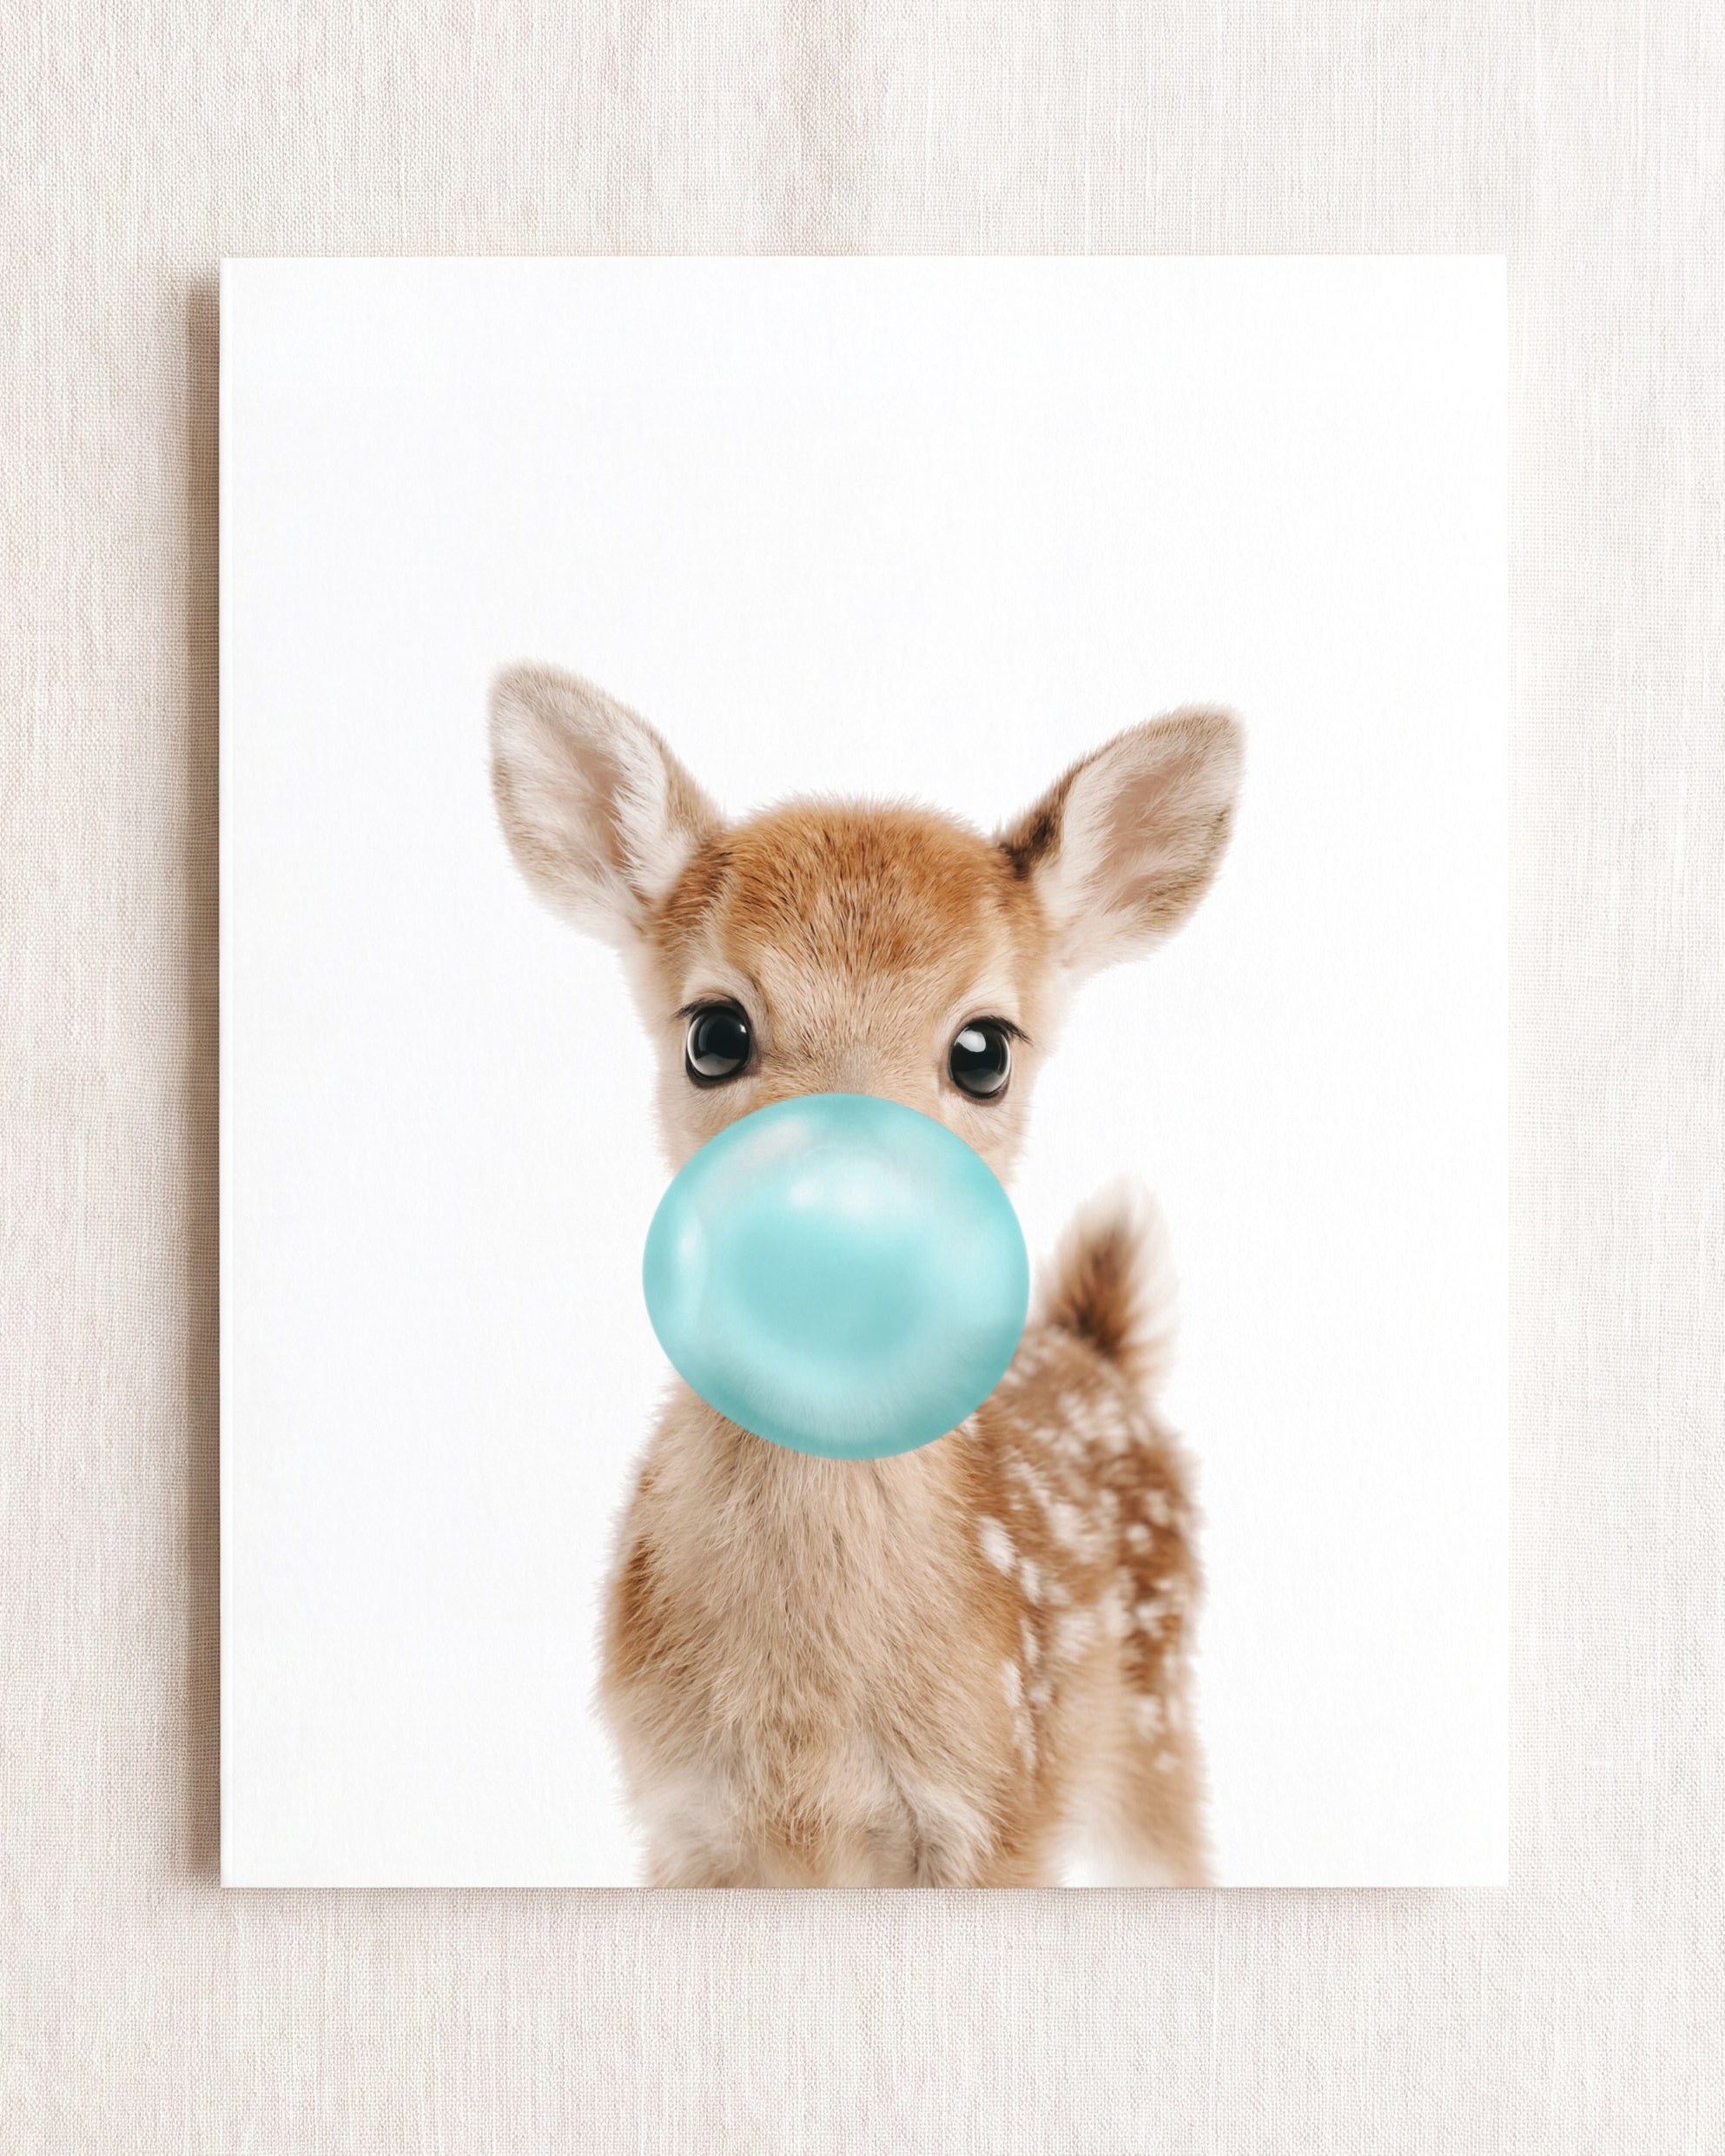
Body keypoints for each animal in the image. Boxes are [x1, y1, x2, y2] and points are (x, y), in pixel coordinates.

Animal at [490, 663, 1241, 1886]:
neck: (808, 1738)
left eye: (985, 1050)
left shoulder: (999, 1809)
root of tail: (1099, 1347)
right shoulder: (680, 1820)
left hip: (1154, 1728)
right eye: (714, 1033)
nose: (840, 1222)